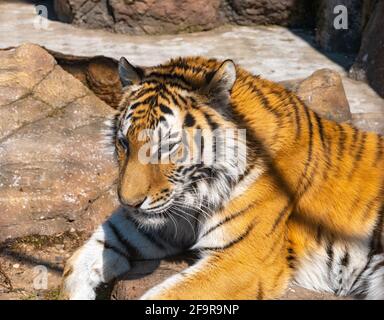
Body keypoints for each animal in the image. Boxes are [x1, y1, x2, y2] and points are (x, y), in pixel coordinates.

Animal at [60, 55, 384, 300]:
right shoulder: (155, 226)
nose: (128, 202)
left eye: (166, 146)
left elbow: (168, 294)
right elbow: (77, 262)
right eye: (124, 143)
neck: (197, 192)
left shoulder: (243, 259)